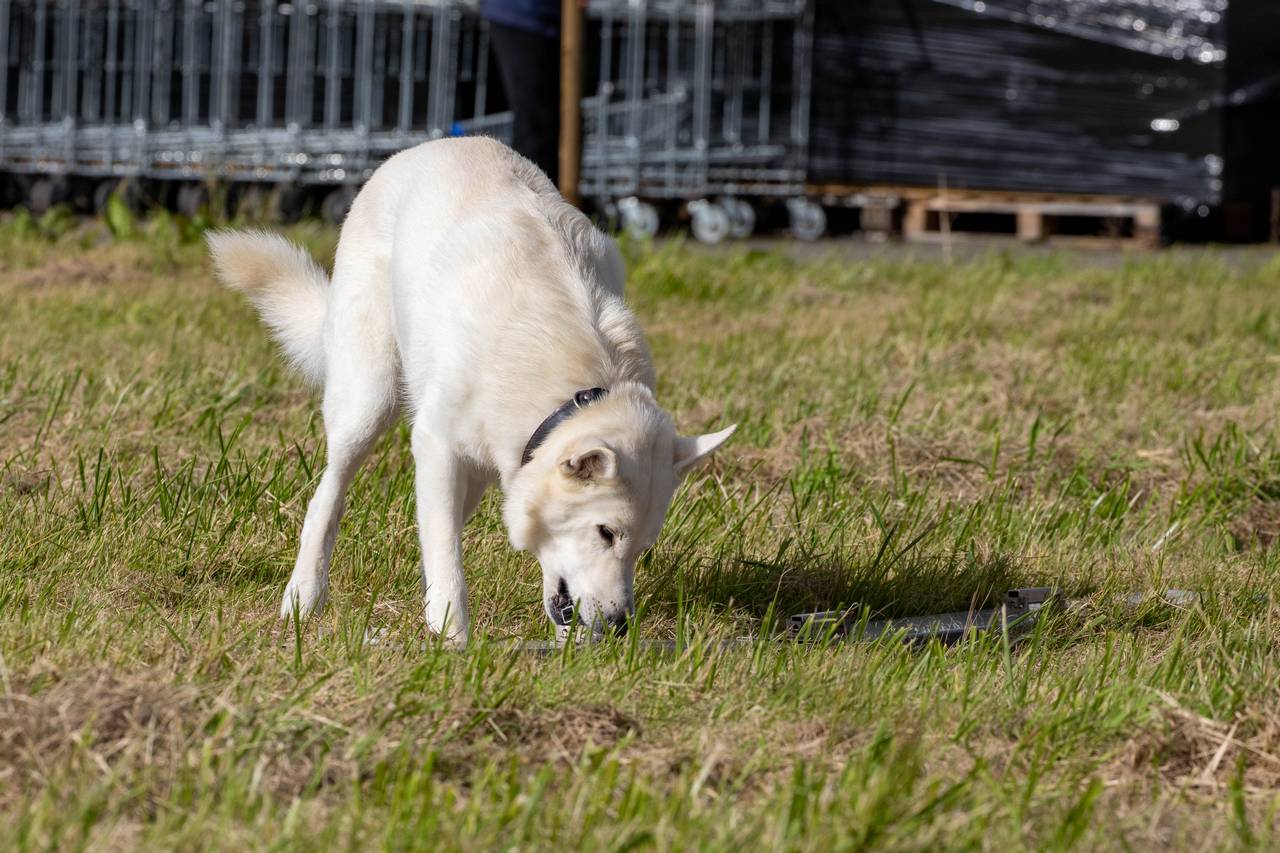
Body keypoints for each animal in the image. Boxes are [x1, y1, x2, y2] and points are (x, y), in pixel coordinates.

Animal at [206, 137, 737, 645]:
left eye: (642, 547)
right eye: (606, 532)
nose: (620, 625)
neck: (569, 393)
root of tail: (424, 148)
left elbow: (445, 543)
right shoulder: (437, 446)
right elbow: (446, 554)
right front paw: (452, 638)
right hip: (368, 401)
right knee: (328, 497)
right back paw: (304, 596)